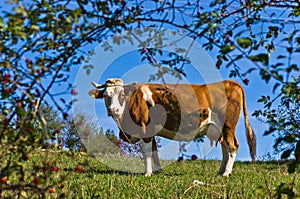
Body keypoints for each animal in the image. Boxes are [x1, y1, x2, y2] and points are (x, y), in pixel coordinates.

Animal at [88, 78, 255, 176]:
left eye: (122, 95)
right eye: (105, 95)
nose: (113, 110)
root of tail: (229, 82)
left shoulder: (145, 129)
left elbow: (147, 152)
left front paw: (147, 173)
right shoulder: (151, 132)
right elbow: (154, 151)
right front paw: (157, 171)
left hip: (228, 125)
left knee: (232, 146)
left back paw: (226, 173)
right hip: (219, 129)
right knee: (225, 147)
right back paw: (221, 172)